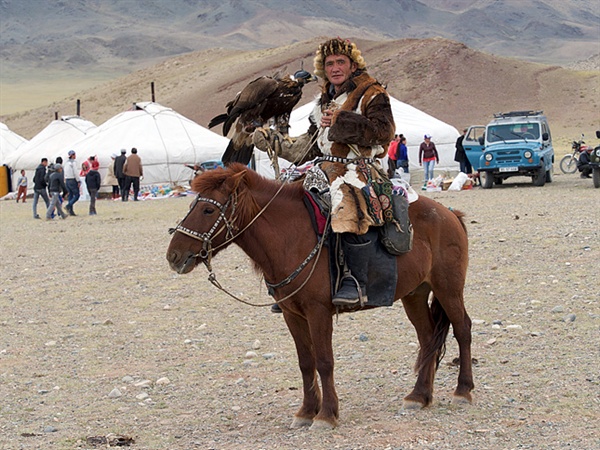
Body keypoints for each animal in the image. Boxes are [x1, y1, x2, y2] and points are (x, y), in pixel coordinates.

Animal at [165, 163, 474, 430]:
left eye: (207, 209)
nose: (174, 256)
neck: (290, 237)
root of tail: (450, 214)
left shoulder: (318, 312)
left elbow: (325, 361)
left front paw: (326, 415)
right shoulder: (292, 314)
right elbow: (306, 362)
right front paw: (305, 412)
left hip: (448, 288)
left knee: (462, 329)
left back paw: (463, 391)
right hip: (415, 294)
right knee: (427, 337)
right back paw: (419, 396)